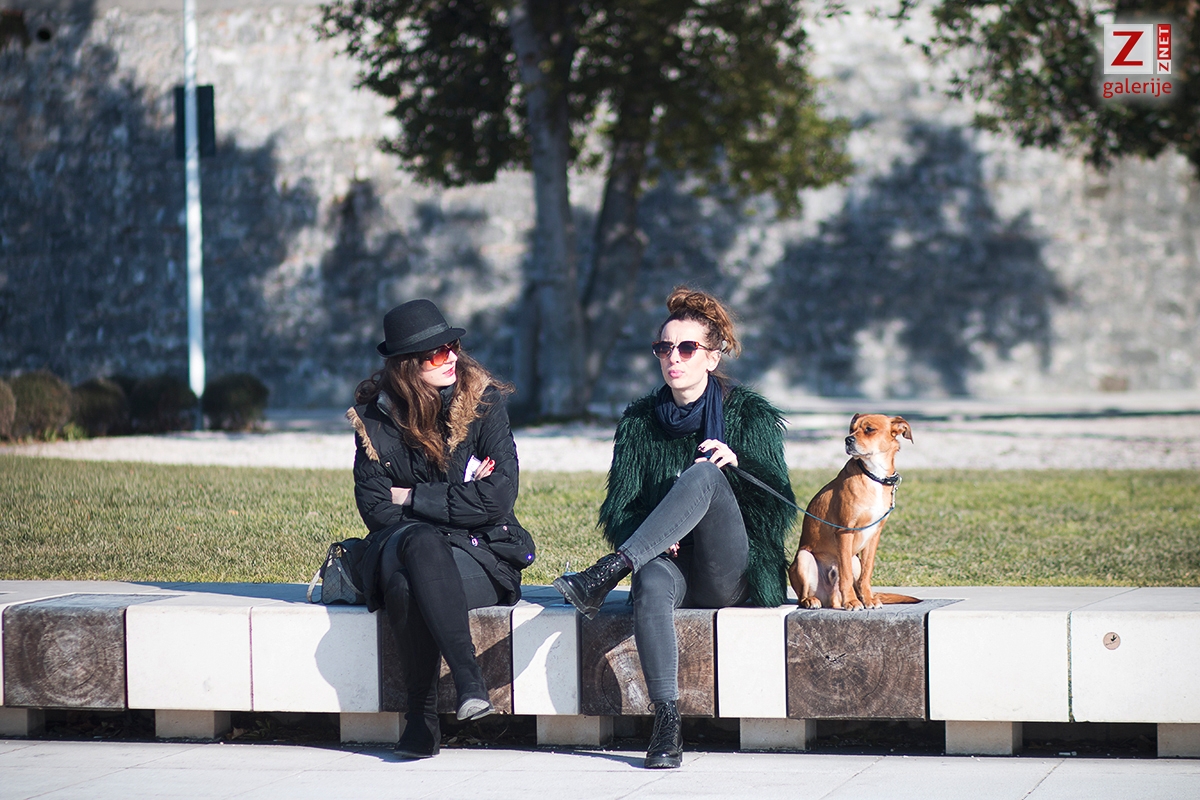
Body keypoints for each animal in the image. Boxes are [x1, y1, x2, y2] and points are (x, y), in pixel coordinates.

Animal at [787, 414, 919, 610]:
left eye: (869, 429)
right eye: (851, 429)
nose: (847, 440)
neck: (875, 475)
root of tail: (830, 599)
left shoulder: (874, 534)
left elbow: (866, 573)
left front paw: (868, 599)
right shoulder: (845, 531)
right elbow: (846, 574)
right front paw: (851, 601)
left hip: (855, 560)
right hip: (804, 557)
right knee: (802, 597)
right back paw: (812, 600)